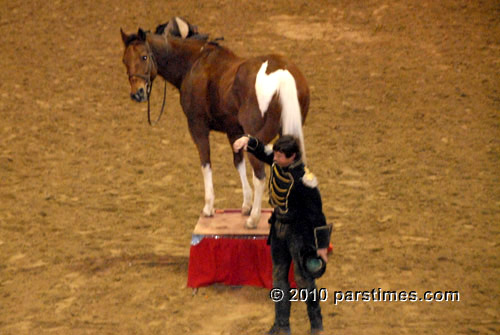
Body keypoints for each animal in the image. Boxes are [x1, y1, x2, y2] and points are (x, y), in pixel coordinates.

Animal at [120, 23, 308, 230]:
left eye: (144, 56)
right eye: (124, 60)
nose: (137, 93)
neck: (194, 63)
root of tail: (283, 74)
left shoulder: (198, 127)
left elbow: (206, 164)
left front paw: (209, 207)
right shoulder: (234, 131)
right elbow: (238, 162)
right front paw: (246, 204)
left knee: (259, 175)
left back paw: (253, 219)